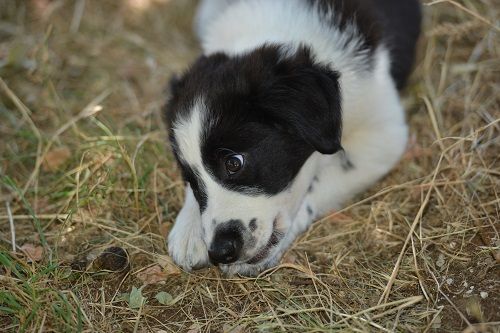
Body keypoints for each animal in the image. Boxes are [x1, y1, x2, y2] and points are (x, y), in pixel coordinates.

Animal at [165, 0, 422, 274]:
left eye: (234, 163)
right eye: (190, 179)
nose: (220, 251)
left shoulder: (384, 134)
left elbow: (320, 183)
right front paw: (189, 229)